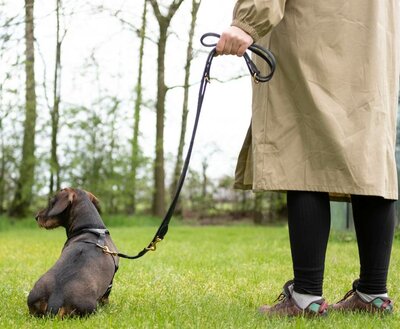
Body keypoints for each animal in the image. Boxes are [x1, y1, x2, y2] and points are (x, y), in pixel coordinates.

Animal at [27, 188, 119, 316]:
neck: (92, 227)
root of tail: (56, 300)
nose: (36, 217)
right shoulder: (110, 281)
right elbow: (106, 296)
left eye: (51, 202)